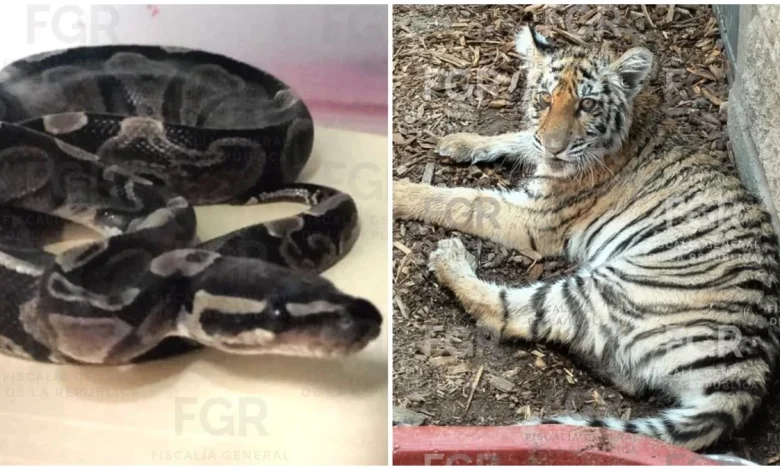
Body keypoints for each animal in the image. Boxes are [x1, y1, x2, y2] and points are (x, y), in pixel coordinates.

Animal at [393, 24, 780, 451]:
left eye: (588, 105)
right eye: (544, 99)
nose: (555, 148)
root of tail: (748, 374)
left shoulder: (536, 218)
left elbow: (462, 200)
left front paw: (399, 191)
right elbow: (521, 136)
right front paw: (461, 141)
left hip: (610, 287)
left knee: (509, 313)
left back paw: (449, 258)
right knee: (629, 377)